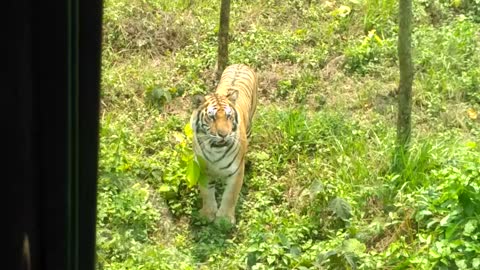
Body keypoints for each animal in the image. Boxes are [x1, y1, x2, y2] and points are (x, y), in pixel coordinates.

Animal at [191, 64, 258, 225]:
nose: (223, 134)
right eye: (212, 117)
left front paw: (224, 220)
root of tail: (240, 64)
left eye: (228, 116)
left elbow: (230, 195)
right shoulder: (203, 169)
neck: (216, 149)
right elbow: (207, 192)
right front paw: (207, 214)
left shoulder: (237, 171)